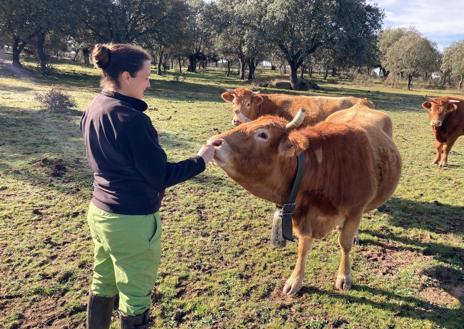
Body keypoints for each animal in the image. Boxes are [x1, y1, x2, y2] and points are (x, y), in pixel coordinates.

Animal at [208, 104, 400, 294]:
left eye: (262, 134)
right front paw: (295, 280)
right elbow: (303, 247)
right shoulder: (301, 213)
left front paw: (344, 276)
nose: (213, 142)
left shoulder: (355, 209)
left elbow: (344, 244)